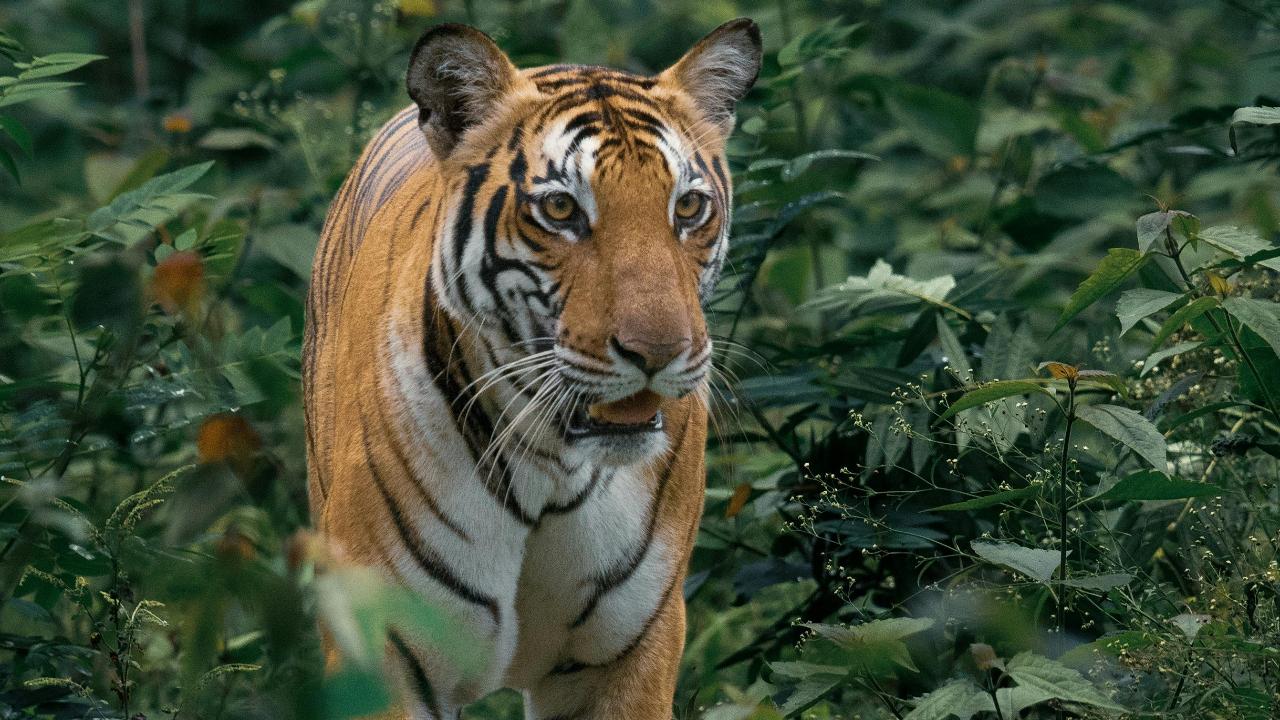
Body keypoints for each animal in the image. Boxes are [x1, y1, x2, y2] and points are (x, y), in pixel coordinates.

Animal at [303, 18, 761, 720]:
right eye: (562, 210)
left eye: (687, 208)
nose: (659, 353)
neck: (552, 465)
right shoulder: (384, 649)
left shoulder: (631, 649)